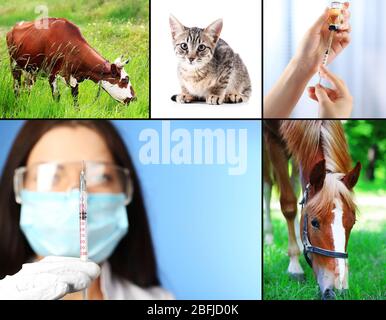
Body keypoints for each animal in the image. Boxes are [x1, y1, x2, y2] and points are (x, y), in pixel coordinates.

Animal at [264, 120, 360, 300]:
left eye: (352, 223)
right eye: (314, 223)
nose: (335, 289)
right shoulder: (272, 138)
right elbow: (288, 204)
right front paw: (294, 266)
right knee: (267, 186)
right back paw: (269, 236)